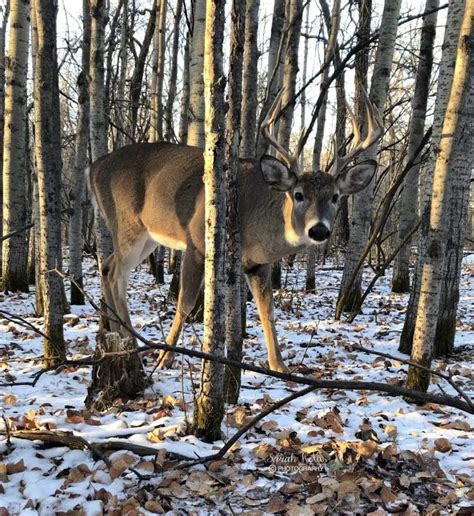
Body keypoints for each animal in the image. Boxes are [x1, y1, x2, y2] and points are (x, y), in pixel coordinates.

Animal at [89, 87, 384, 370]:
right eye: (298, 194)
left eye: (335, 197)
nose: (319, 230)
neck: (255, 219)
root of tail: (94, 167)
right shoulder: (197, 242)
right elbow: (185, 303)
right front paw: (166, 358)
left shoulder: (258, 264)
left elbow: (267, 311)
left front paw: (280, 366)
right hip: (127, 224)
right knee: (115, 273)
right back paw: (131, 342)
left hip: (148, 237)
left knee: (108, 266)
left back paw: (119, 334)